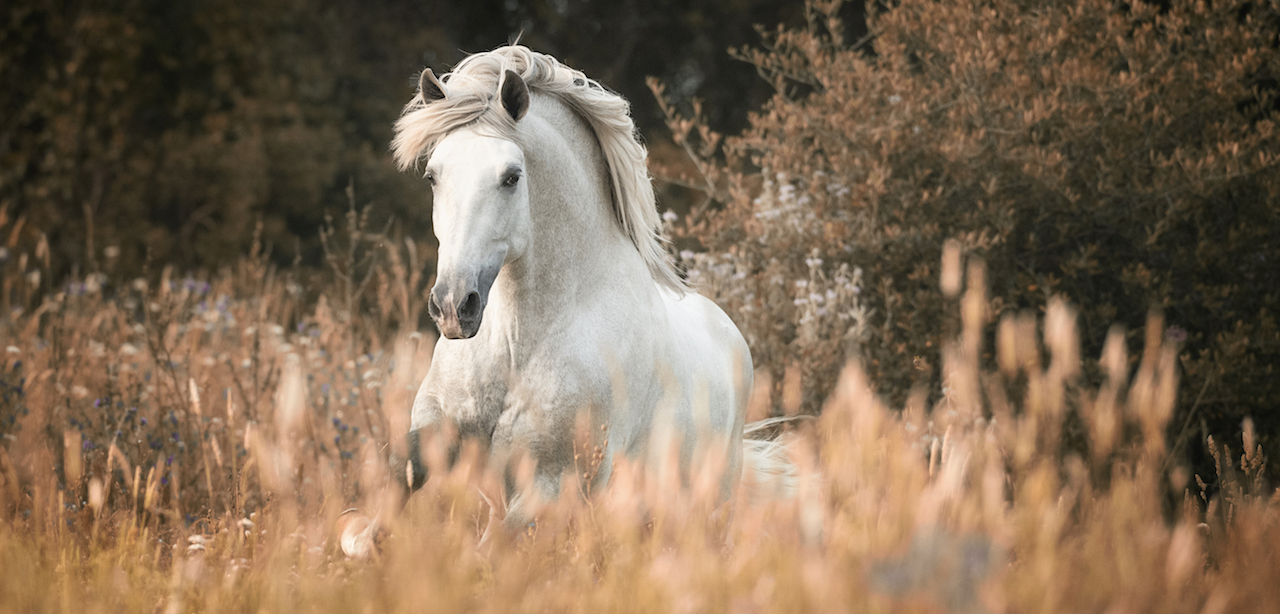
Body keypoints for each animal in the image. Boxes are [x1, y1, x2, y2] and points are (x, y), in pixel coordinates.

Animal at [386, 45, 747, 524]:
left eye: (511, 177)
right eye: (433, 176)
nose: (453, 307)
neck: (518, 343)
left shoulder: (552, 485)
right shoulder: (436, 429)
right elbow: (397, 476)